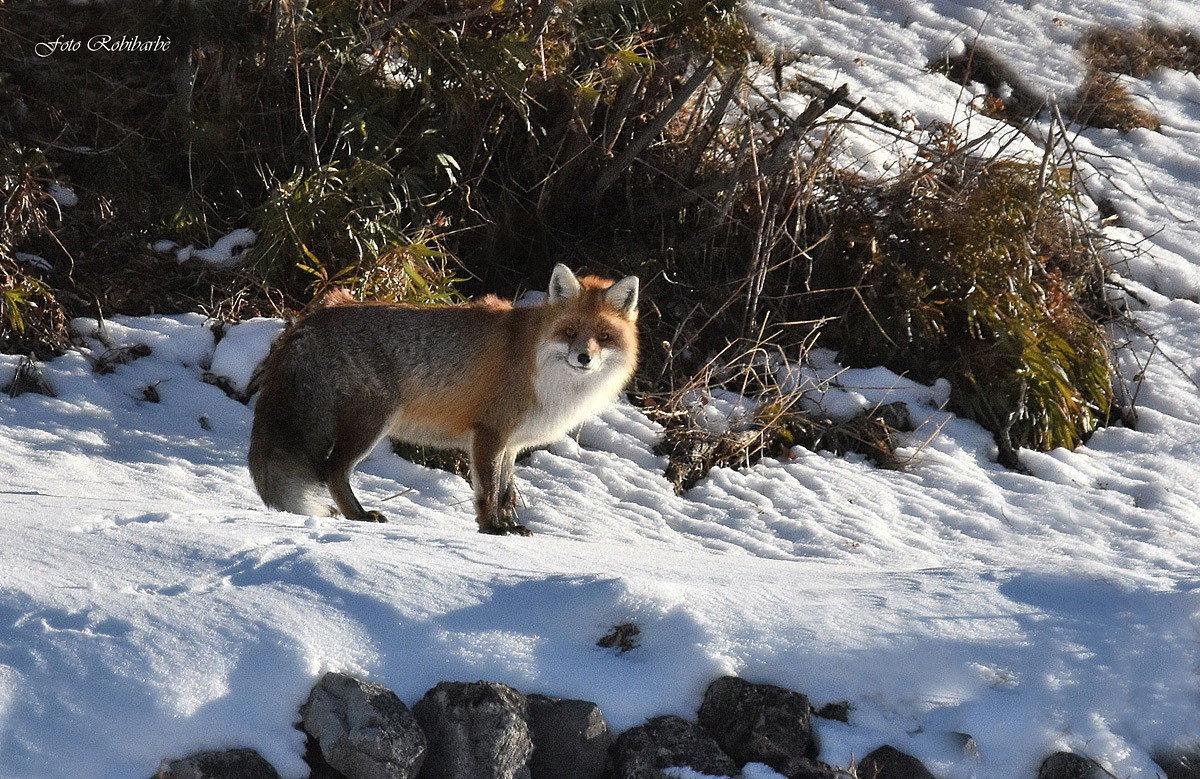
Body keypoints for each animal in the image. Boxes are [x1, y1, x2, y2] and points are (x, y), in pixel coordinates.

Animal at [248, 264, 639, 536]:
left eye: (604, 337)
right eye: (569, 332)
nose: (583, 358)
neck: (537, 365)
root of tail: (315, 316)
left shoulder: (511, 444)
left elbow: (506, 492)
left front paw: (509, 527)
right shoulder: (489, 434)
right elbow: (488, 491)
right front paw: (491, 528)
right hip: (372, 422)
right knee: (331, 469)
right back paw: (358, 515)